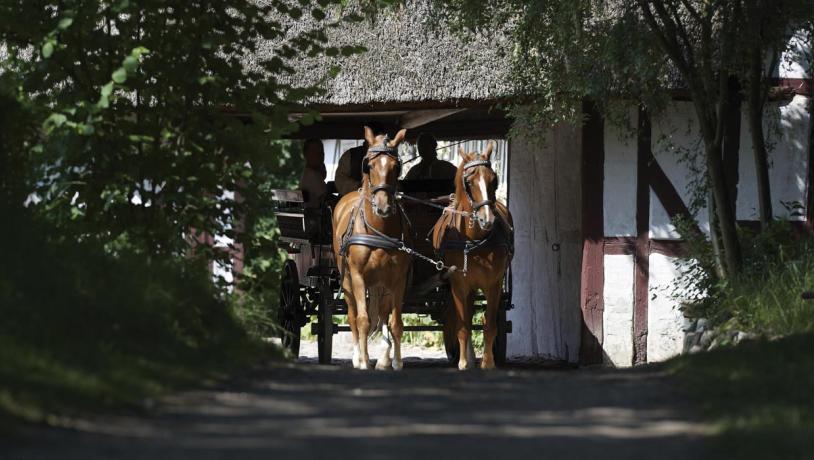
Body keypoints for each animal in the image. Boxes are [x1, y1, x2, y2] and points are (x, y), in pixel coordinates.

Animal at [332, 126, 412, 370]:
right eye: (369, 165)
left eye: (396, 166)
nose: (384, 206)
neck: (379, 231)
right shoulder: (358, 276)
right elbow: (362, 320)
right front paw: (364, 361)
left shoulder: (397, 279)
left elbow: (395, 323)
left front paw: (396, 362)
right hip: (347, 281)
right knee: (352, 315)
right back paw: (357, 356)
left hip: (380, 283)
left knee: (383, 313)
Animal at [430, 144, 512, 370]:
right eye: (468, 181)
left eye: (494, 179)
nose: (487, 219)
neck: (474, 240)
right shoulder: (459, 284)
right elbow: (463, 325)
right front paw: (464, 362)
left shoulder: (493, 284)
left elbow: (489, 324)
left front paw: (488, 362)